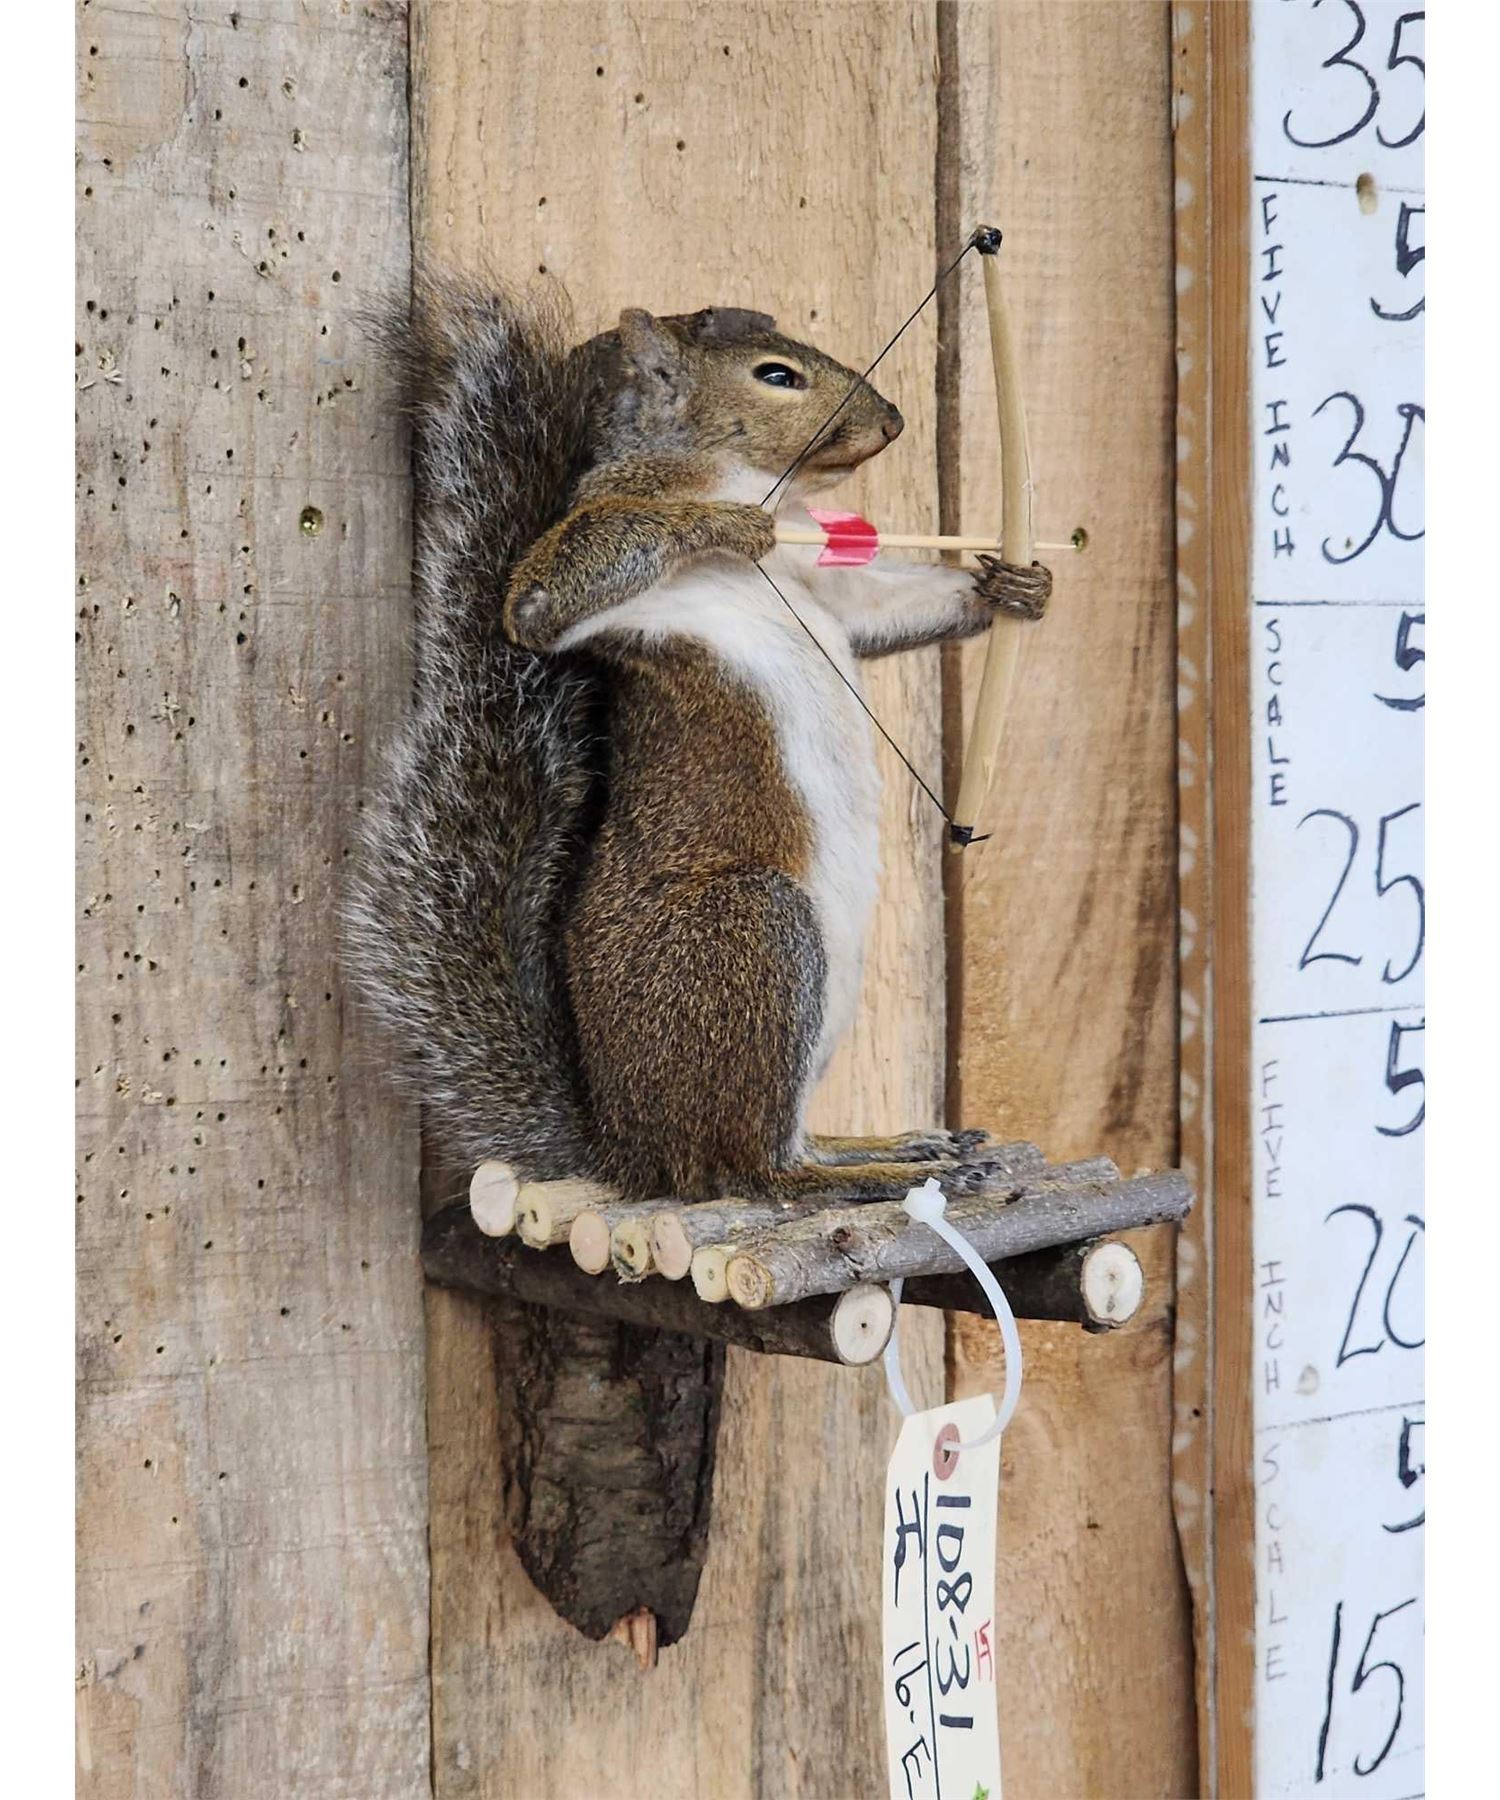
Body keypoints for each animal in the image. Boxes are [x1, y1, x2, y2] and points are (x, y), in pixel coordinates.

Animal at [346, 272, 1051, 1204]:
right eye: (776, 375)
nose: (894, 421)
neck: (757, 487)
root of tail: (629, 1149)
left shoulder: (828, 589)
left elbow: (883, 605)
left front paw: (1011, 584)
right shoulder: (591, 542)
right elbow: (541, 600)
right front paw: (721, 525)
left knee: (780, 1145)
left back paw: (892, 1146)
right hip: (754, 932)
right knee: (747, 1168)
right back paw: (874, 1175)